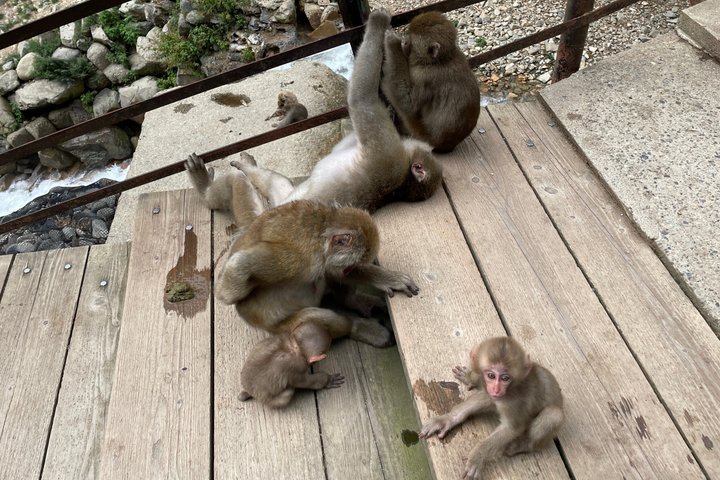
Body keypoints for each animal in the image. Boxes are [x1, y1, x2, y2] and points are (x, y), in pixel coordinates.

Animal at [228, 9, 443, 214]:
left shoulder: (387, 153)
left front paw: (378, 22)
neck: (401, 183)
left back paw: (245, 167)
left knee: (273, 181)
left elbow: (361, 99)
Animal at [381, 11, 480, 153]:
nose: (404, 41)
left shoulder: (425, 77)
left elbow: (408, 104)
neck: (436, 61)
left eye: (409, 42)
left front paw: (392, 42)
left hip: (420, 133)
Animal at [419, 336, 564, 480]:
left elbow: (511, 428)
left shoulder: (512, 402)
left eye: (505, 378)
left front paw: (477, 457)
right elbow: (485, 397)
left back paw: (523, 445)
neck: (511, 388)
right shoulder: (493, 394)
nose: (496, 389)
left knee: (554, 415)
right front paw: (446, 420)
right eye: (491, 376)